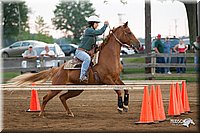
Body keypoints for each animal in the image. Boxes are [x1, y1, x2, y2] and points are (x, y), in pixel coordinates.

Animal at [9, 21, 141, 117]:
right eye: (129, 32)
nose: (139, 44)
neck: (108, 56)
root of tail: (57, 70)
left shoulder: (116, 78)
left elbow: (126, 89)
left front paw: (126, 106)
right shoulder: (107, 79)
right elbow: (118, 91)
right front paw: (120, 107)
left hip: (76, 89)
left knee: (62, 97)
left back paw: (69, 113)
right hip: (57, 87)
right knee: (46, 97)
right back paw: (41, 114)